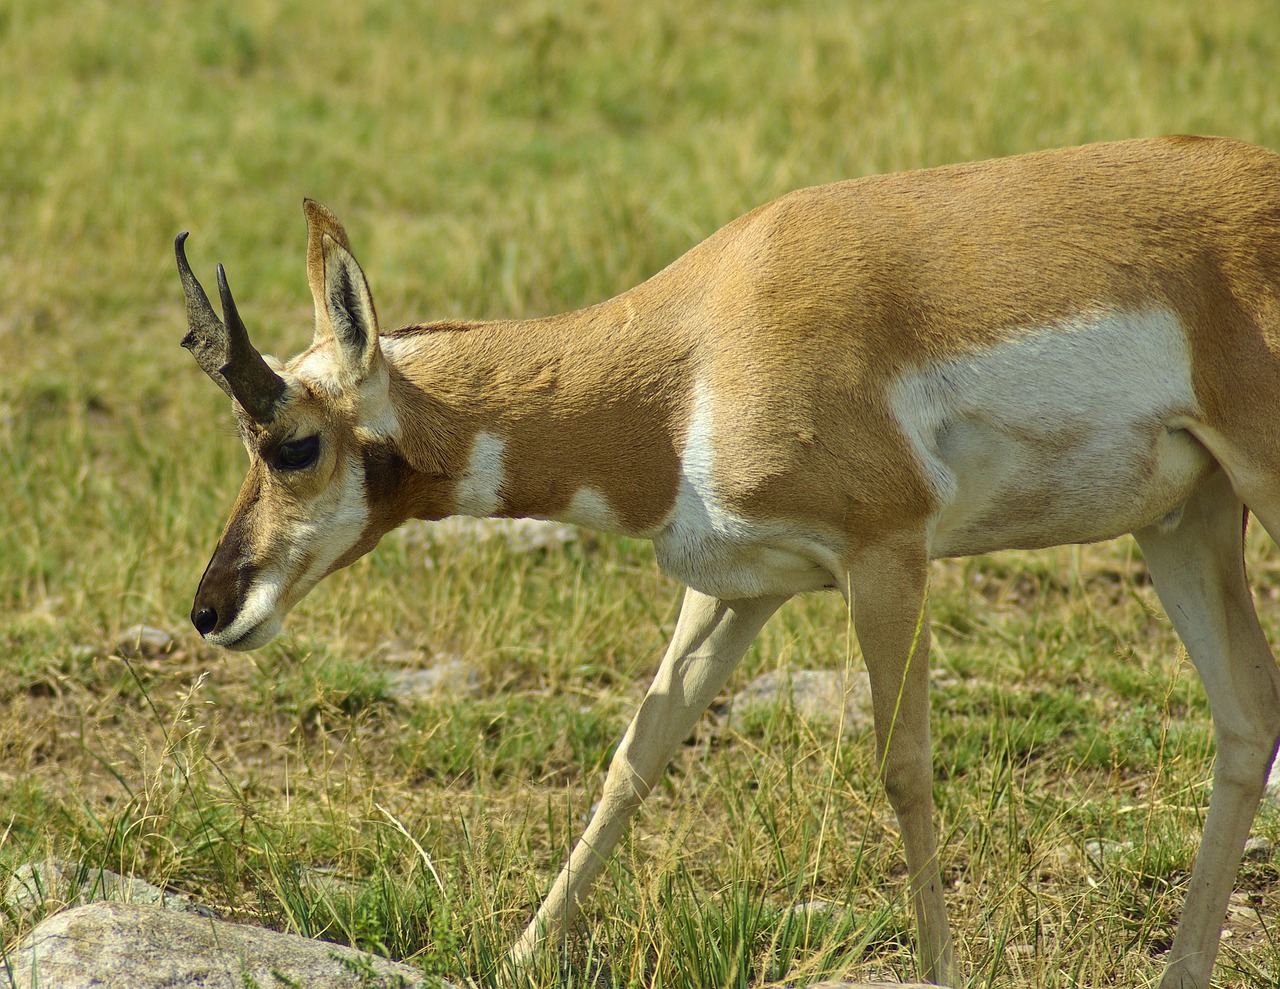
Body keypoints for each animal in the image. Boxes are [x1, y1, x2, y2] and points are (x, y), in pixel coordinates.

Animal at [177, 133, 1280, 987]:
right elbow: (636, 754)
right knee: (1245, 712)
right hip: (1183, 521)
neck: (693, 353)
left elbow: (903, 767)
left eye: (292, 444)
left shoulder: (886, 557)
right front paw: (522, 951)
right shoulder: (734, 592)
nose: (211, 607)